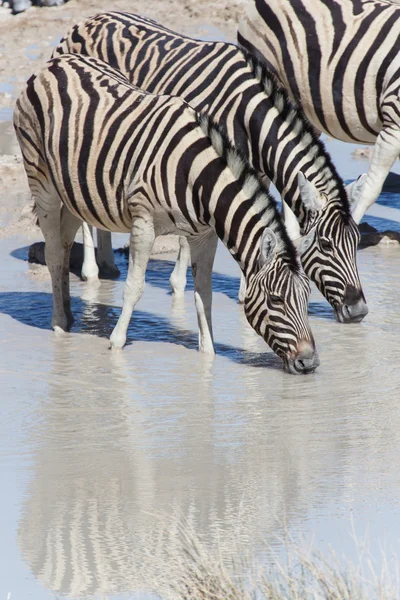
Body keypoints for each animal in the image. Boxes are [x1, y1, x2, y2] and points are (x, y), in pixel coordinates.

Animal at [14, 55, 318, 376]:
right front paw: (116, 346)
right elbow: (134, 287)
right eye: (276, 299)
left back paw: (70, 313)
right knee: (53, 252)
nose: (309, 363)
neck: (197, 177)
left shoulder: (204, 236)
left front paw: (208, 356)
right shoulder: (143, 222)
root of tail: (56, 62)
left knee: (64, 244)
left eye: (308, 297)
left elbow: (203, 294)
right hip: (42, 180)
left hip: (76, 194)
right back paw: (60, 323)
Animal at [54, 10, 368, 324]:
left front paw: (245, 290)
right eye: (326, 244)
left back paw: (108, 264)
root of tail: (87, 19)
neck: (250, 118)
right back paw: (92, 271)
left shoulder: (253, 174)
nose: (358, 311)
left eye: (357, 241)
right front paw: (178, 284)